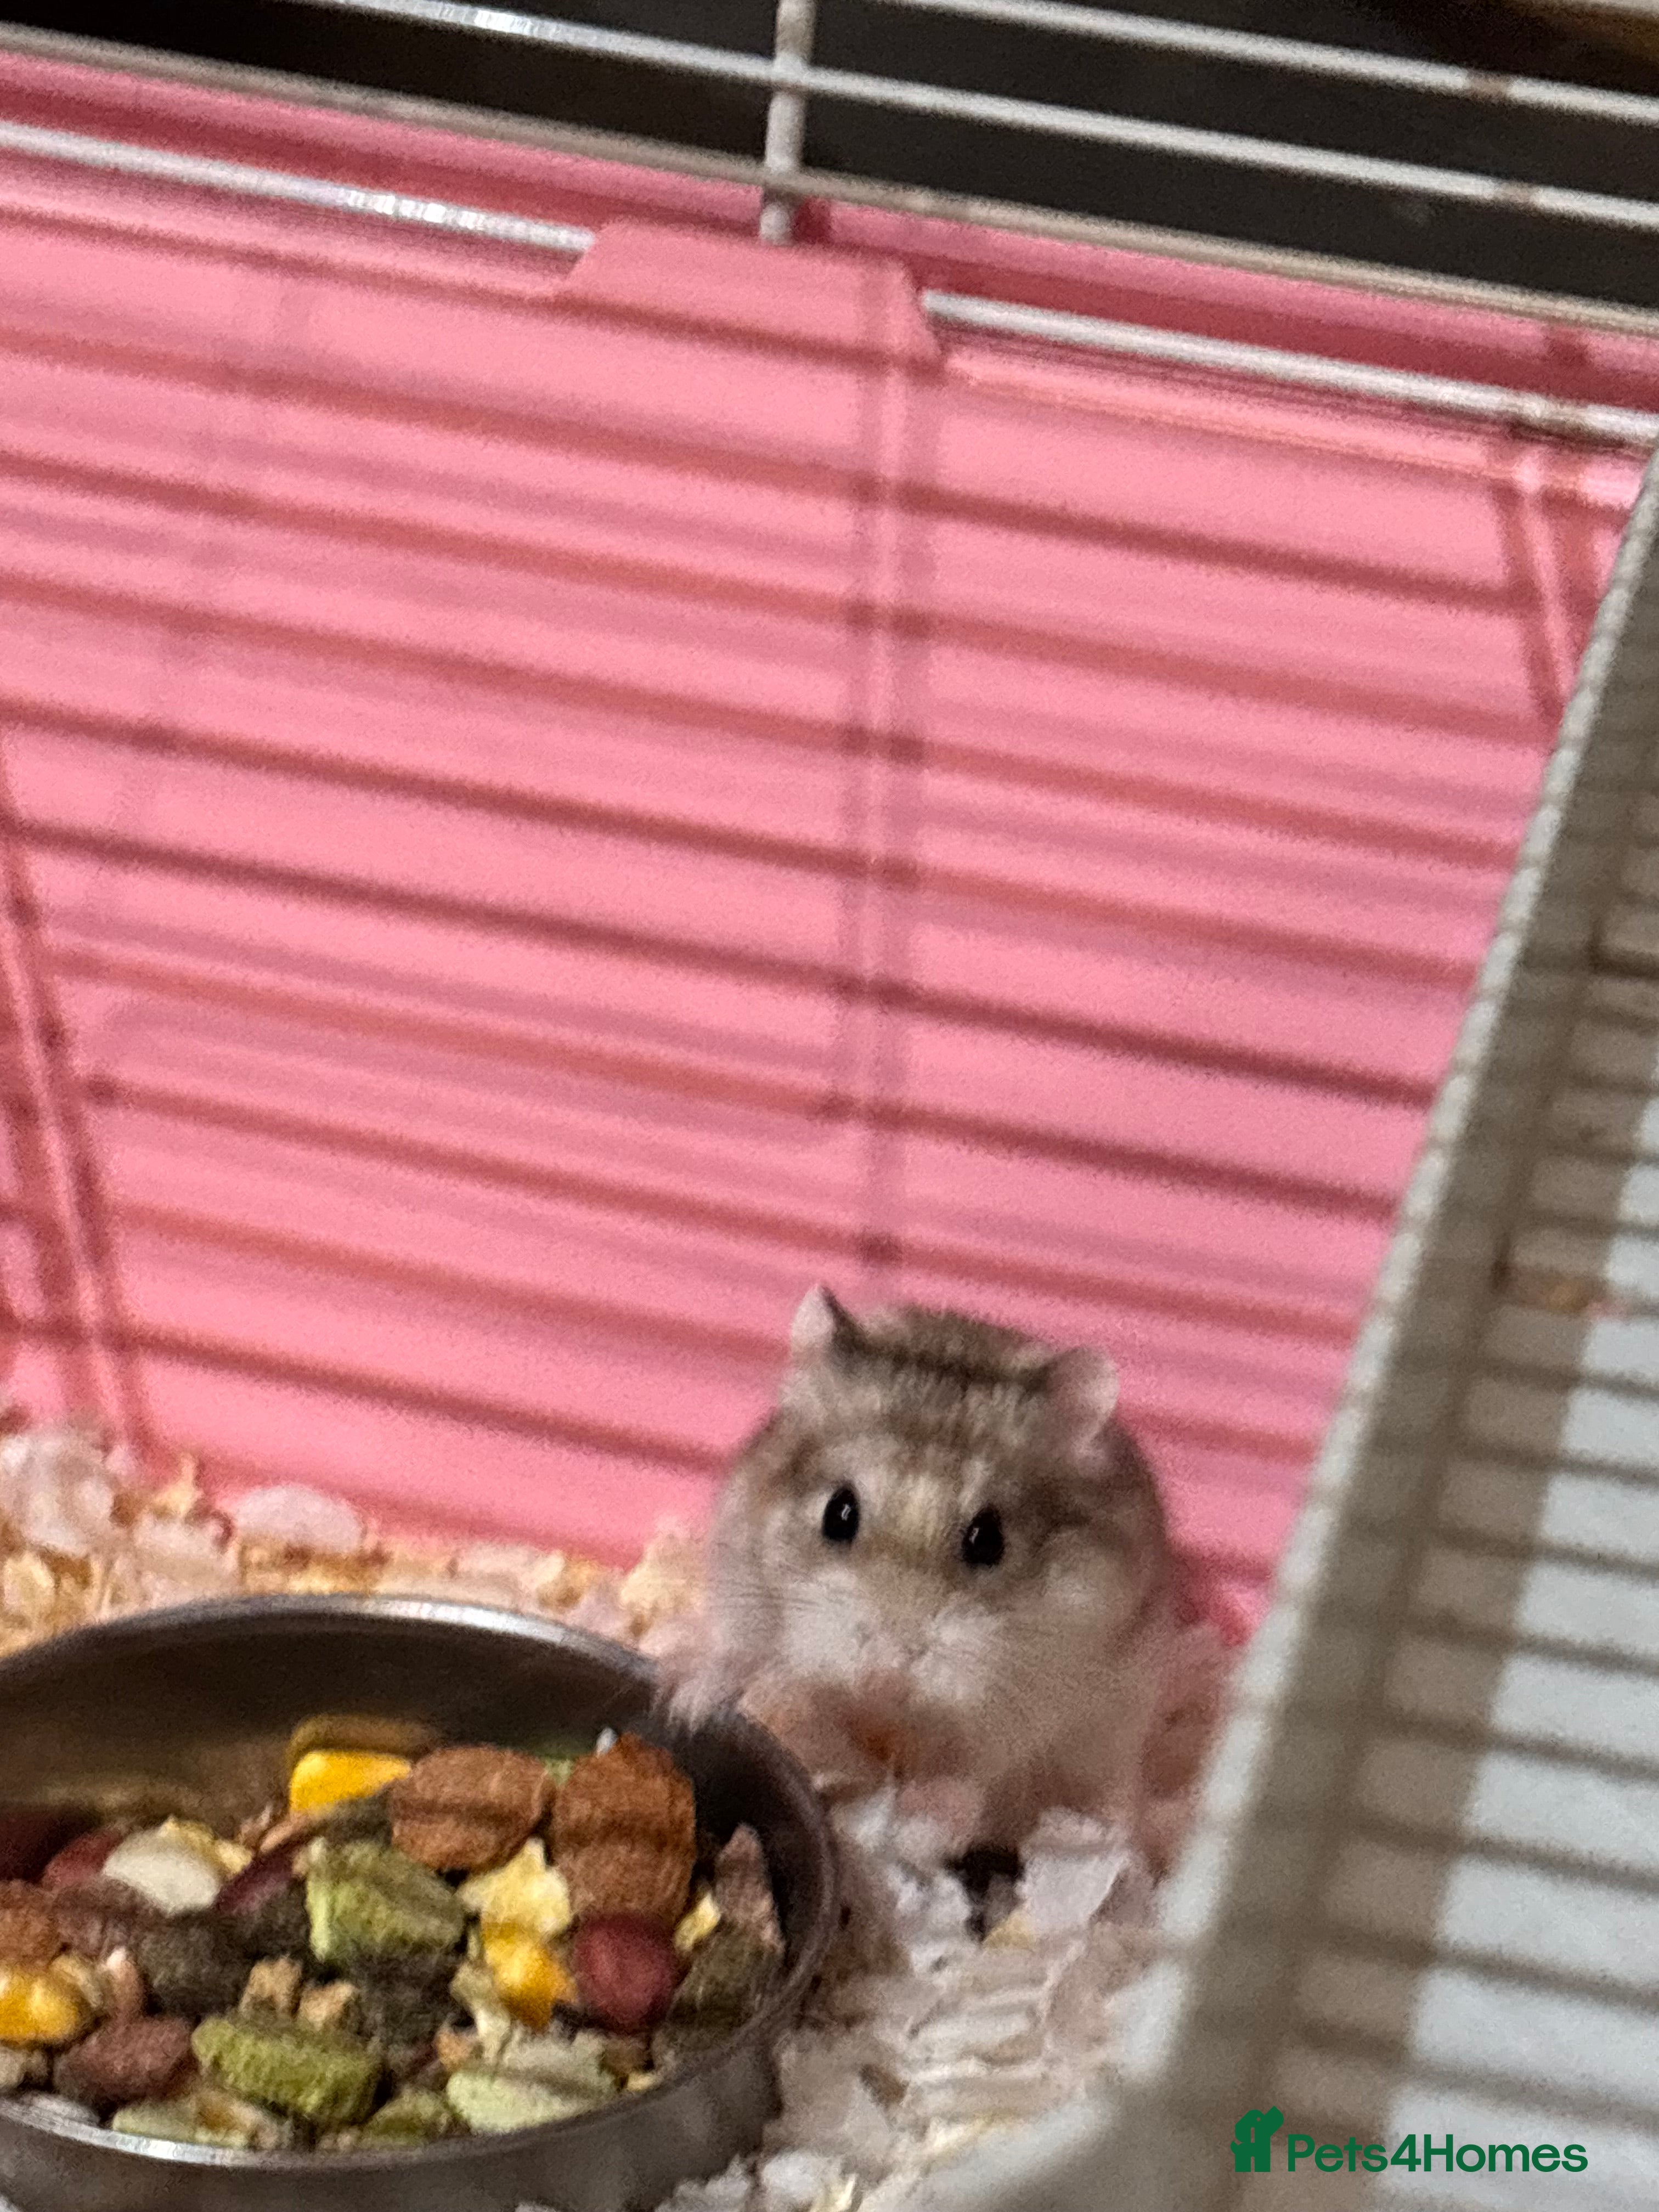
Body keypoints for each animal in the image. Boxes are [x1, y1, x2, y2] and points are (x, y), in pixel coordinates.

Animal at [670, 1286, 1180, 1867]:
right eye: (838, 1513)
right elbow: (738, 1652)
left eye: (989, 1540)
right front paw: (686, 1704)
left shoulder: (1044, 1684)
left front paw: (922, 1818)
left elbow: (979, 1764)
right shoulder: (739, 1578)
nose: (886, 1676)